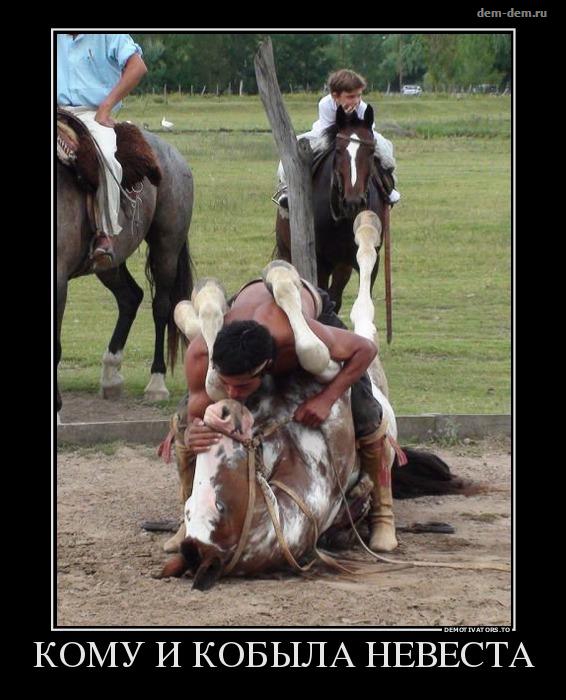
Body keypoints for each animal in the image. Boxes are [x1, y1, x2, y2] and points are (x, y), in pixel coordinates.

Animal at [56, 122, 194, 419]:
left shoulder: (58, 282)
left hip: (166, 249)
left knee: (161, 307)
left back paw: (156, 383)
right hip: (110, 263)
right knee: (130, 297)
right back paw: (111, 375)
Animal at [275, 104, 389, 314]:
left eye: (371, 150)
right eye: (339, 149)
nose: (354, 201)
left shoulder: (367, 260)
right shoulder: (321, 264)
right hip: (287, 251)